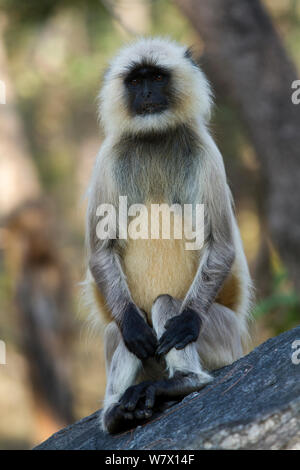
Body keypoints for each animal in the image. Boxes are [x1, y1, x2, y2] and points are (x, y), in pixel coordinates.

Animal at [84, 36, 253, 434]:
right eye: (135, 81)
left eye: (157, 77)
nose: (146, 93)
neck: (154, 137)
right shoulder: (108, 157)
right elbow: (100, 252)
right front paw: (134, 328)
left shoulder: (206, 152)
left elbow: (221, 245)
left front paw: (186, 322)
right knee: (121, 332)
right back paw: (116, 413)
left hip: (222, 338)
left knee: (165, 304)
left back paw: (182, 382)